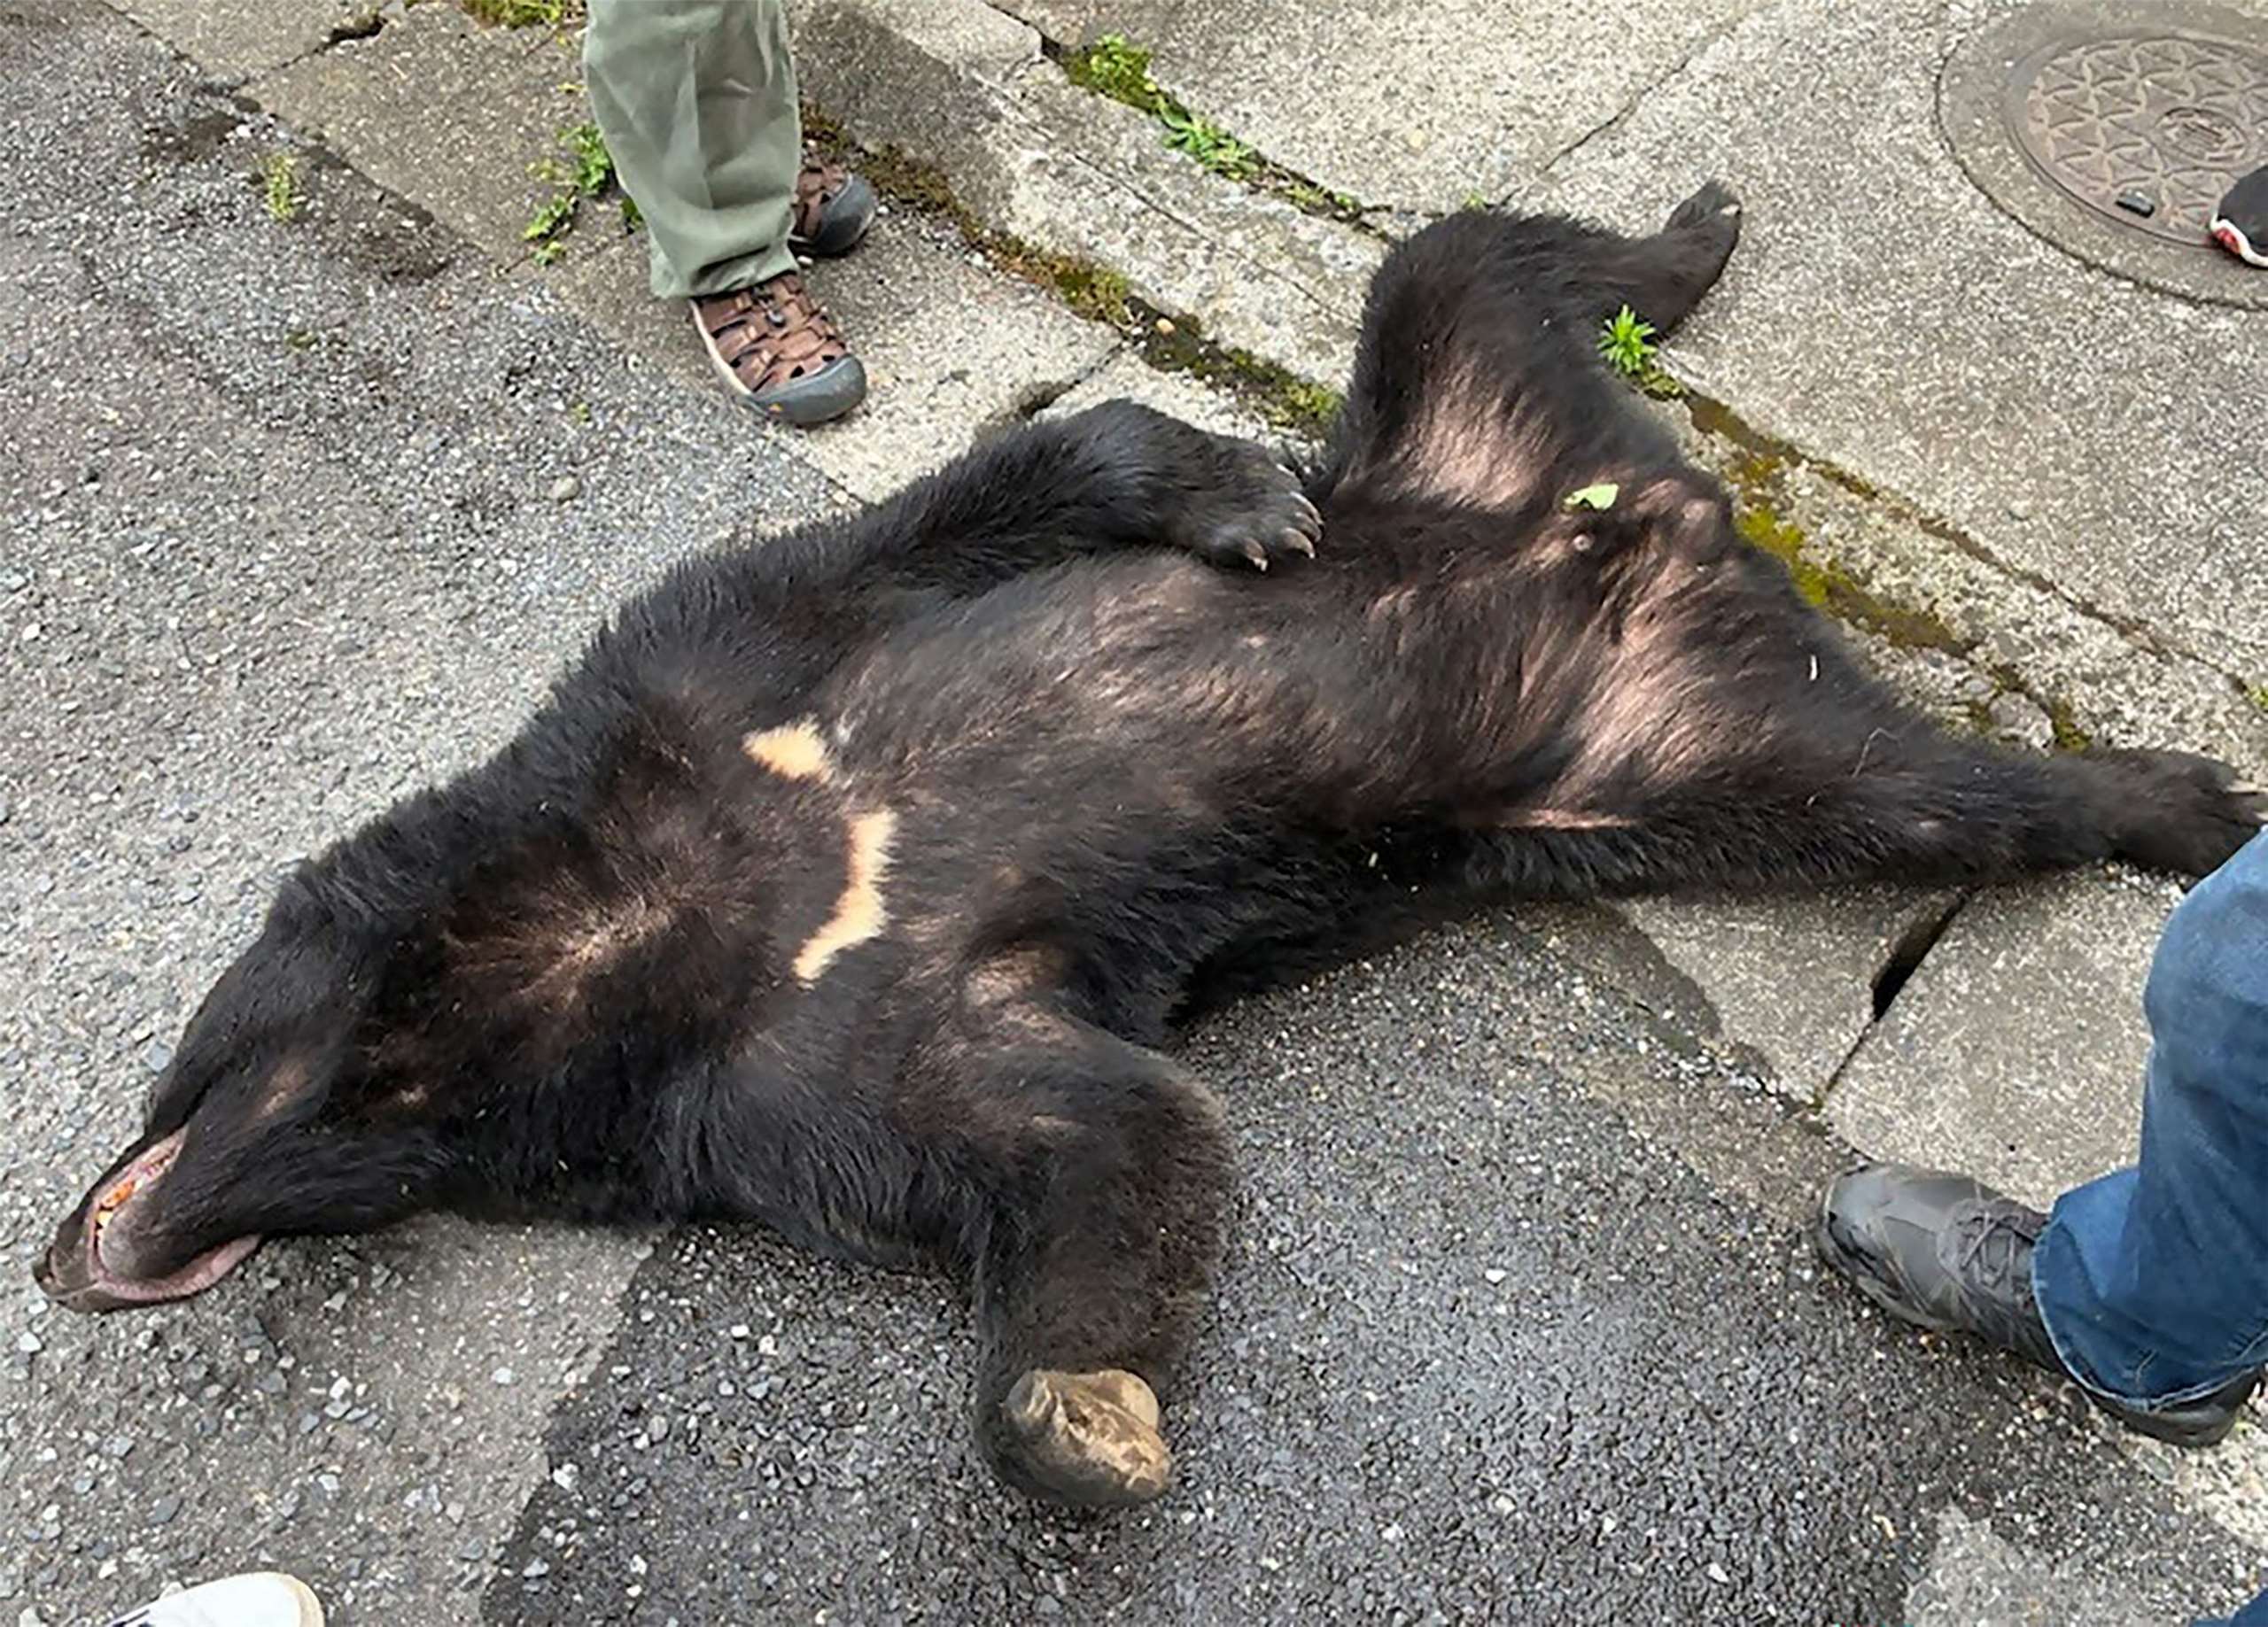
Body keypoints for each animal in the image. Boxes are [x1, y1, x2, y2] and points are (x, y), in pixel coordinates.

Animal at [36, 183, 2262, 1509]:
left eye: (188, 1059)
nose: (82, 1251)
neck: (632, 927)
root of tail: (1653, 514)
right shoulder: (774, 1080)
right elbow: (1100, 1133)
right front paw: (1081, 1419)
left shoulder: (707, 667)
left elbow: (983, 494)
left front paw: (1239, 507)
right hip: (1686, 753)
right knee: (1929, 789)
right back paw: (2164, 794)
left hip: (1452, 409)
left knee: (1465, 255)